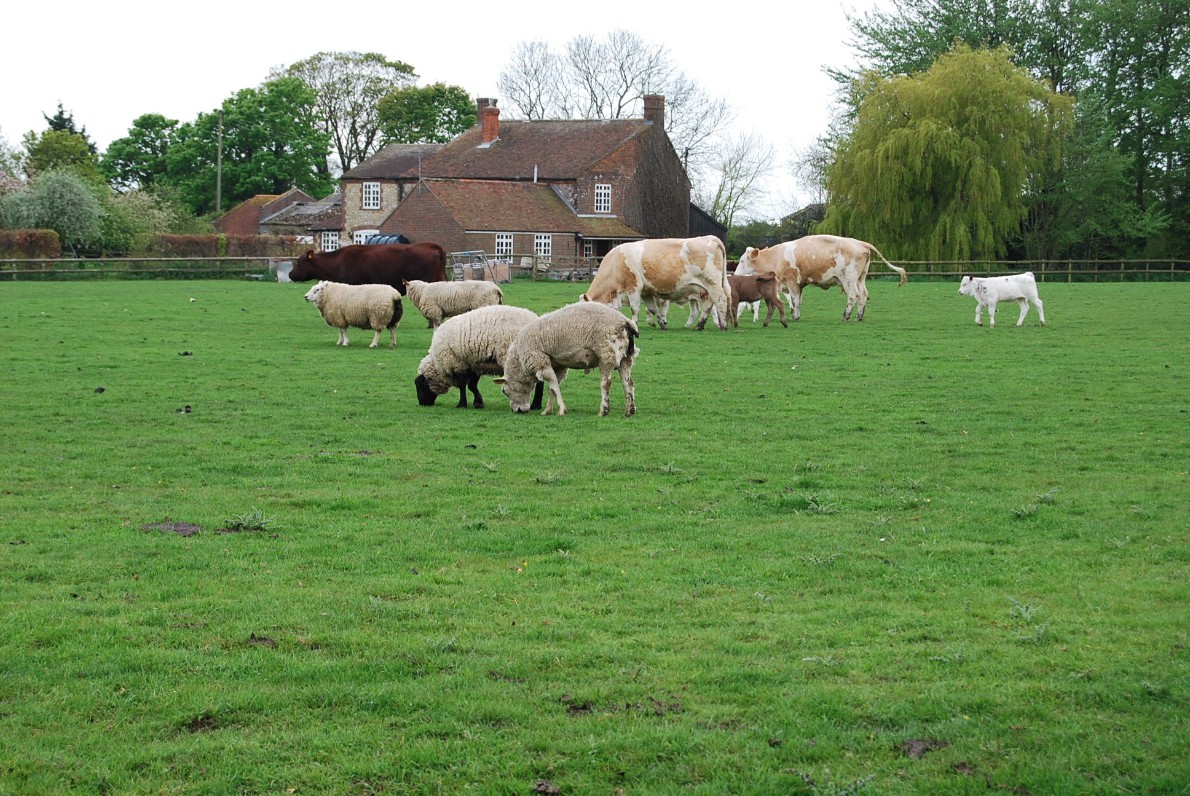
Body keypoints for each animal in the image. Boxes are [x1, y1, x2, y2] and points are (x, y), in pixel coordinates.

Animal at [416, 301, 545, 406]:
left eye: (420, 385)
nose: (422, 404)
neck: (438, 364)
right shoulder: (473, 364)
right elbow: (472, 386)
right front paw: (478, 402)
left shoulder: (457, 363)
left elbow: (462, 386)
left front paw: (462, 404)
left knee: (540, 383)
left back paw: (535, 405)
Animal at [492, 301, 642, 418]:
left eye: (504, 391)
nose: (516, 411)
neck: (519, 361)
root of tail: (626, 322)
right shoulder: (557, 364)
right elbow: (553, 387)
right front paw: (547, 411)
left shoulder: (540, 360)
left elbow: (553, 385)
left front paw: (561, 410)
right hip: (626, 357)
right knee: (628, 383)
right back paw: (629, 410)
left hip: (606, 353)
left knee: (606, 383)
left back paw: (603, 411)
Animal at [580, 239, 728, 333]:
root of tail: (711, 238)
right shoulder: (646, 292)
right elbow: (653, 309)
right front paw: (661, 324)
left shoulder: (634, 287)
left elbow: (635, 309)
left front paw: (635, 325)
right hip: (705, 290)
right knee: (708, 305)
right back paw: (700, 325)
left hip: (712, 284)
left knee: (721, 301)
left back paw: (724, 325)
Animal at [733, 234, 909, 321]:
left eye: (742, 261)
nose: (734, 275)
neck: (776, 257)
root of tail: (861, 243)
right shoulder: (799, 285)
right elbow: (798, 301)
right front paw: (795, 314)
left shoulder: (791, 282)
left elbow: (795, 300)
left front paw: (795, 316)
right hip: (861, 278)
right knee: (864, 295)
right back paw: (859, 316)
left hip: (849, 279)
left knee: (854, 296)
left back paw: (846, 316)